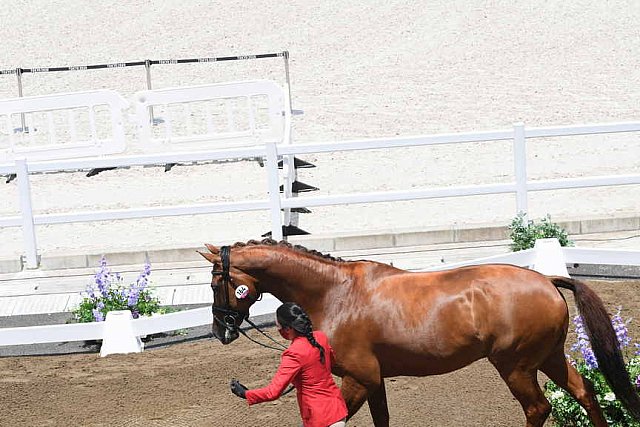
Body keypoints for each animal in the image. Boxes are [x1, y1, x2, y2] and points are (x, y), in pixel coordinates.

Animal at [200, 239, 640, 426]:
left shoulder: (358, 379)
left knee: (538, 409)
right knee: (585, 392)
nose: (221, 330)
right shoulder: (373, 380)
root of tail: (547, 280)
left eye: (215, 281)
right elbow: (382, 420)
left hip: (515, 367)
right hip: (547, 357)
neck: (335, 293)